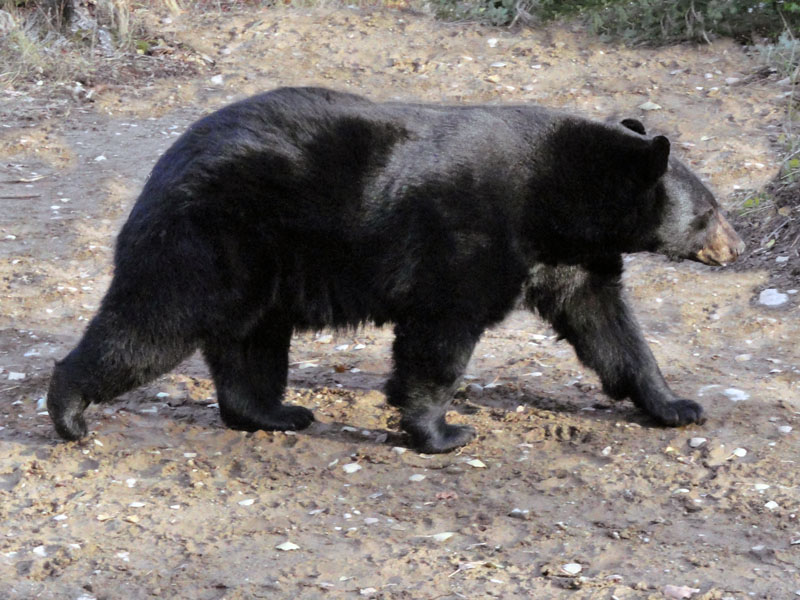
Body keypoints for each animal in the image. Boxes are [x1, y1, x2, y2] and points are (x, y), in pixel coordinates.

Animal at [47, 87, 745, 454]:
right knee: (152, 320)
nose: (736, 248)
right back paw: (70, 412)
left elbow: (608, 328)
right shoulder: (472, 236)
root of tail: (162, 166)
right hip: (212, 238)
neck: (560, 199)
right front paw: (443, 430)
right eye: (711, 211)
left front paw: (677, 405)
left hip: (260, 268)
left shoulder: (570, 258)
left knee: (249, 345)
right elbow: (440, 333)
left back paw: (277, 414)